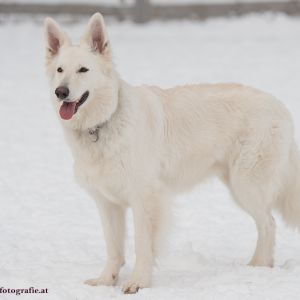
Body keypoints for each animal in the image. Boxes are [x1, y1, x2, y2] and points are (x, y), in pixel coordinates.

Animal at [44, 12, 300, 294]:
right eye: (60, 70)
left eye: (83, 70)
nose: (61, 92)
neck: (105, 122)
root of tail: (280, 105)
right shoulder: (107, 202)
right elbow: (113, 248)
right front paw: (106, 280)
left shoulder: (145, 198)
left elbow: (143, 246)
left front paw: (138, 282)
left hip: (246, 185)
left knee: (268, 223)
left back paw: (258, 266)